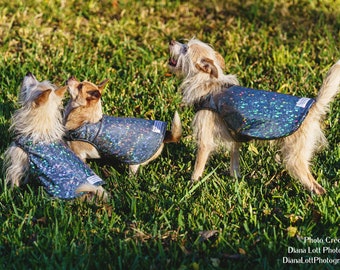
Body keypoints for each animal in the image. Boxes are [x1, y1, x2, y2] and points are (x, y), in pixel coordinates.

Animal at [3, 72, 107, 200]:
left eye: (31, 86)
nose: (29, 73)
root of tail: (95, 190)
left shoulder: (17, 161)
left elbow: (15, 178)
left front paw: (12, 191)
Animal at [168, 38, 340, 194]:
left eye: (185, 49)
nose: (171, 41)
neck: (207, 83)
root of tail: (313, 107)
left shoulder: (205, 140)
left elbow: (199, 164)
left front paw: (192, 184)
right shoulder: (234, 137)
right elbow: (234, 162)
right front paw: (236, 180)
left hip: (294, 159)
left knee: (317, 187)